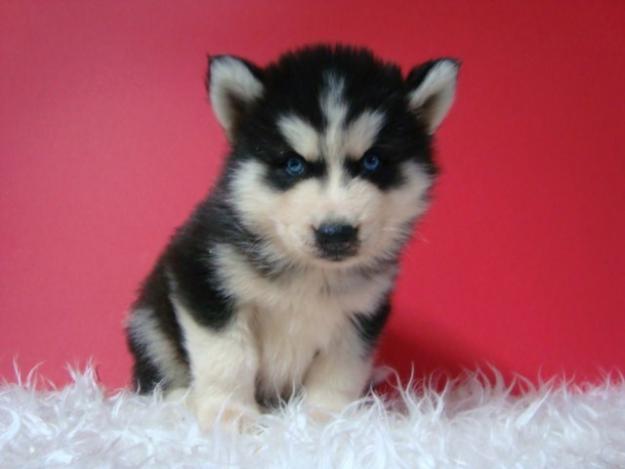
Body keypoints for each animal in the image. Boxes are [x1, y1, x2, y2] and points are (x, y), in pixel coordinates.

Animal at [125, 44, 458, 428]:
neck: (311, 272)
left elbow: (339, 370)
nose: (336, 233)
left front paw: (328, 418)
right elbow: (228, 358)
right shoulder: (203, 278)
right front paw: (230, 415)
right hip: (148, 323)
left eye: (373, 161)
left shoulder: (360, 313)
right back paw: (180, 401)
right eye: (293, 164)